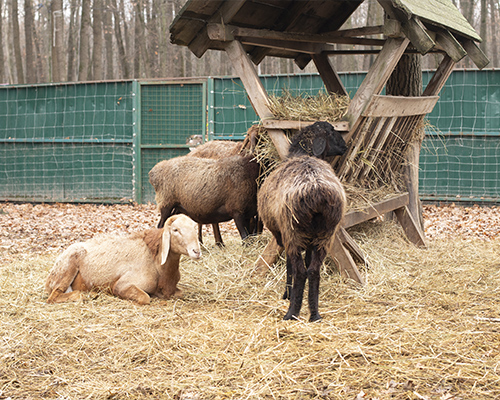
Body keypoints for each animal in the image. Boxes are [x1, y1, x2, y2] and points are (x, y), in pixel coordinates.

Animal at [44, 216, 201, 304]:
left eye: (195, 228)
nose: (196, 251)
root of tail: (49, 279)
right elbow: (145, 298)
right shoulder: (122, 285)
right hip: (66, 270)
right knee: (53, 297)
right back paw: (84, 296)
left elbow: (180, 293)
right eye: (175, 230)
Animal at [258, 122, 348, 322]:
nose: (345, 146)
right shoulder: (310, 241)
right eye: (332, 132)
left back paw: (292, 312)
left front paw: (288, 294)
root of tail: (316, 190)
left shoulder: (284, 236)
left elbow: (290, 266)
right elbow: (307, 264)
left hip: (292, 232)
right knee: (313, 270)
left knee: (299, 270)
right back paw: (314, 314)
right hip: (325, 235)